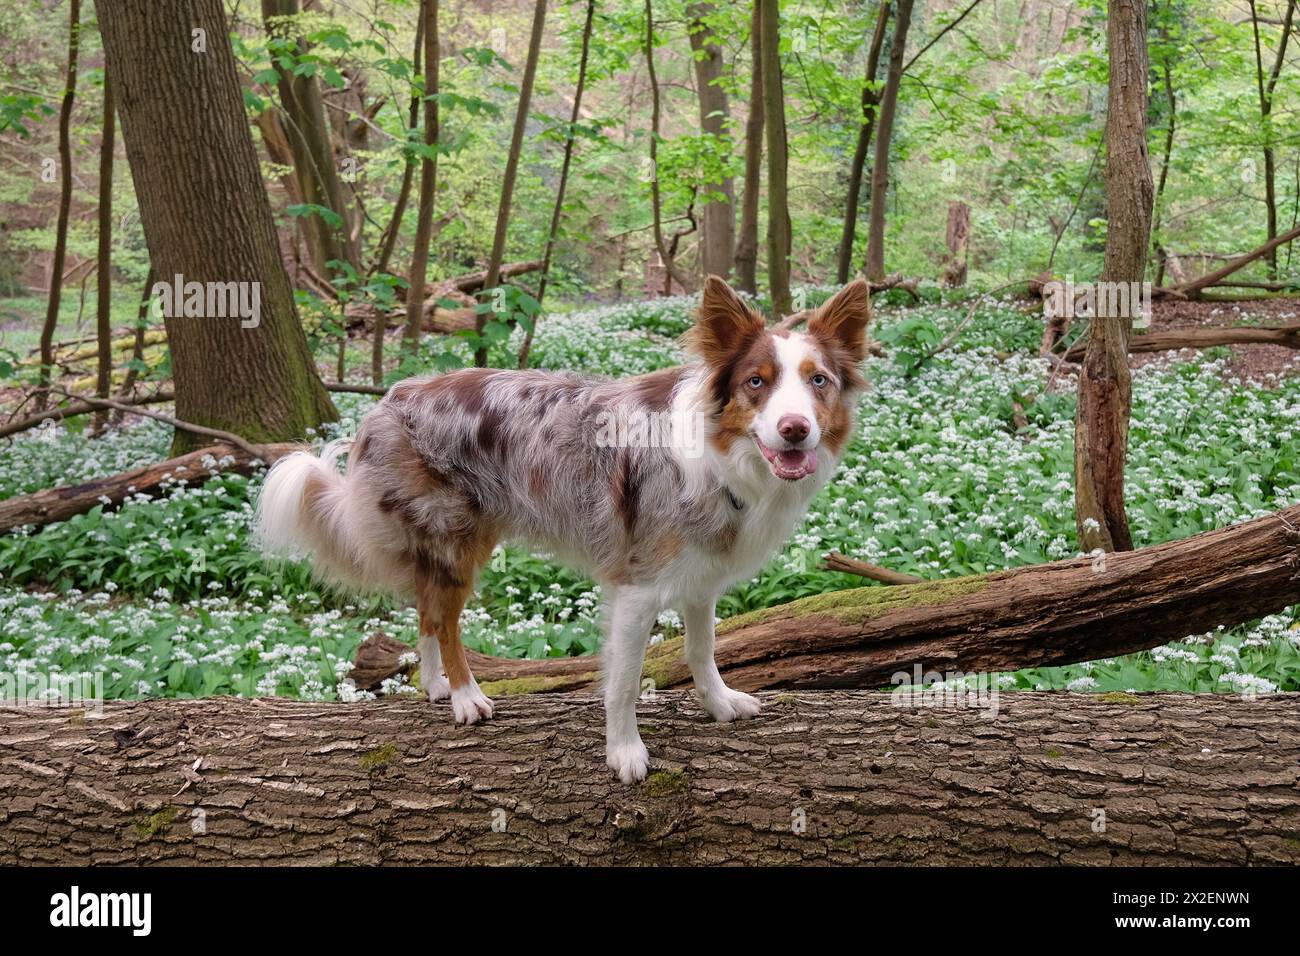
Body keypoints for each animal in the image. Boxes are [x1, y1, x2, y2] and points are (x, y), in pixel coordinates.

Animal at [257, 273, 868, 780]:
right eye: (757, 383)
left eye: (818, 381)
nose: (795, 429)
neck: (721, 457)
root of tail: (386, 402)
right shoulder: (636, 586)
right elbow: (624, 681)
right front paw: (625, 753)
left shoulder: (701, 576)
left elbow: (702, 649)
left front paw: (718, 704)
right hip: (457, 540)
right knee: (446, 621)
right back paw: (464, 696)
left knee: (426, 611)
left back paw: (433, 685)